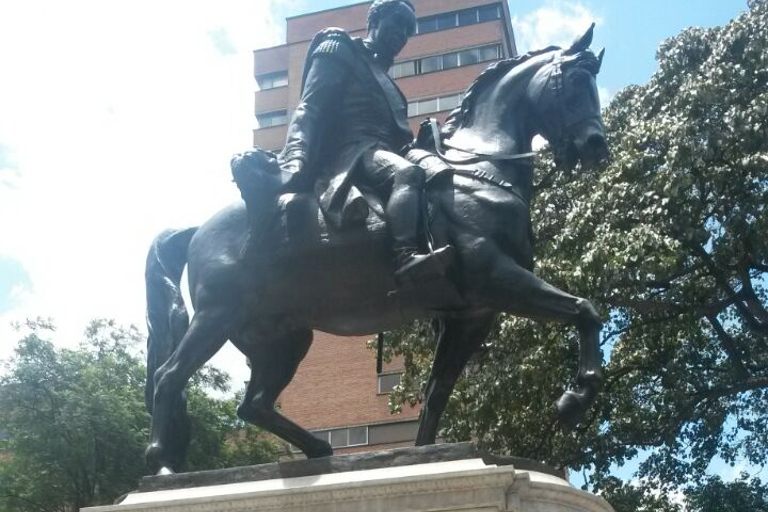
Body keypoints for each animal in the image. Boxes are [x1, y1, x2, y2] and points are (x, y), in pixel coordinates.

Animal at [144, 26, 608, 474]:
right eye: (575, 82)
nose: (596, 147)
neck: (479, 173)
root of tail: (198, 230)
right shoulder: (498, 278)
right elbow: (586, 309)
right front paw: (575, 398)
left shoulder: (472, 315)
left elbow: (437, 392)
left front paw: (426, 453)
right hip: (217, 316)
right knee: (170, 376)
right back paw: (161, 465)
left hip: (282, 335)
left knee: (253, 404)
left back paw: (317, 449)